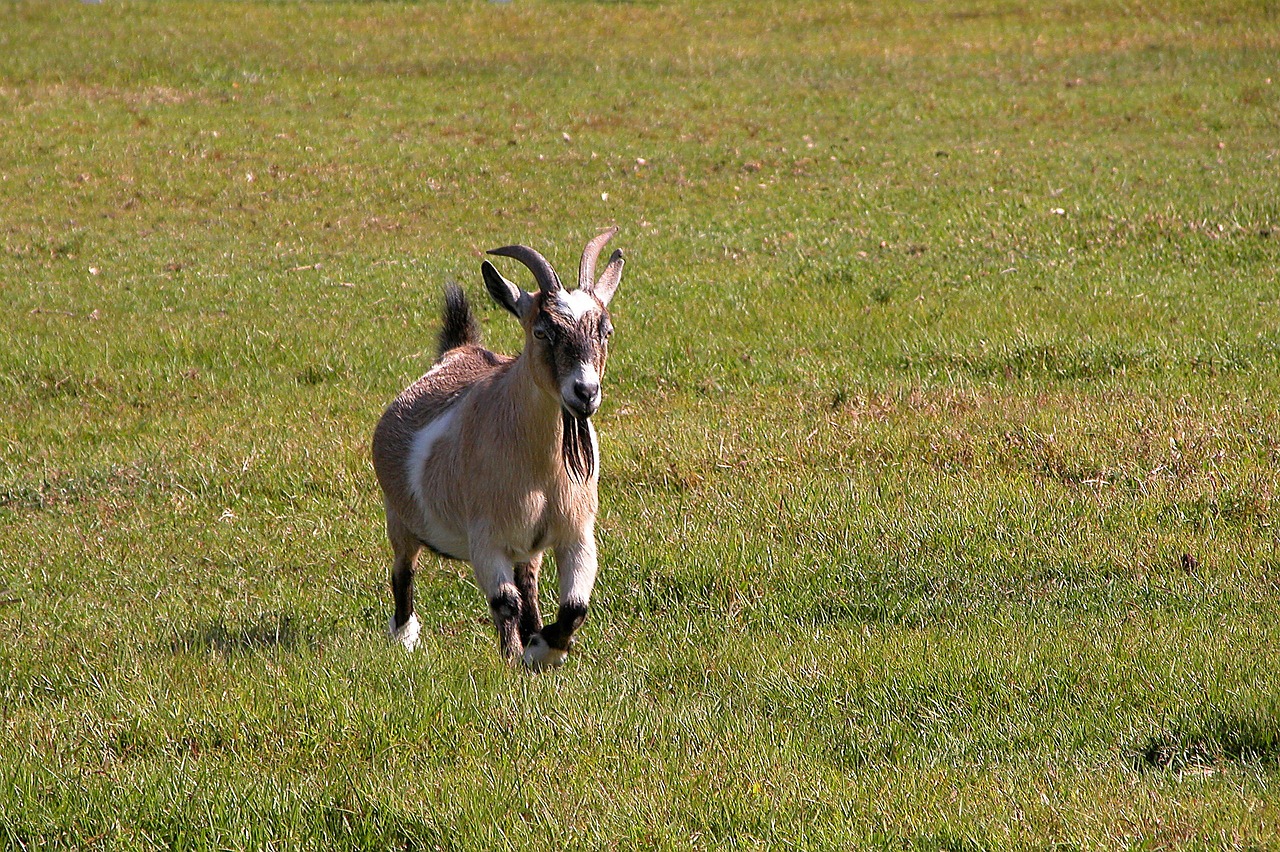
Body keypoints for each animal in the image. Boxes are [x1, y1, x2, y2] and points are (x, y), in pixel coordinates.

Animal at [371, 227, 624, 670]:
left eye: (605, 331)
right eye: (541, 331)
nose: (585, 393)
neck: (541, 471)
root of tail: (458, 352)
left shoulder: (576, 533)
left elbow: (574, 607)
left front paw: (542, 649)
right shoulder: (485, 537)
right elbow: (504, 602)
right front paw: (515, 658)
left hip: (526, 545)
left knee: (529, 584)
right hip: (398, 516)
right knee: (404, 569)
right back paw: (404, 635)